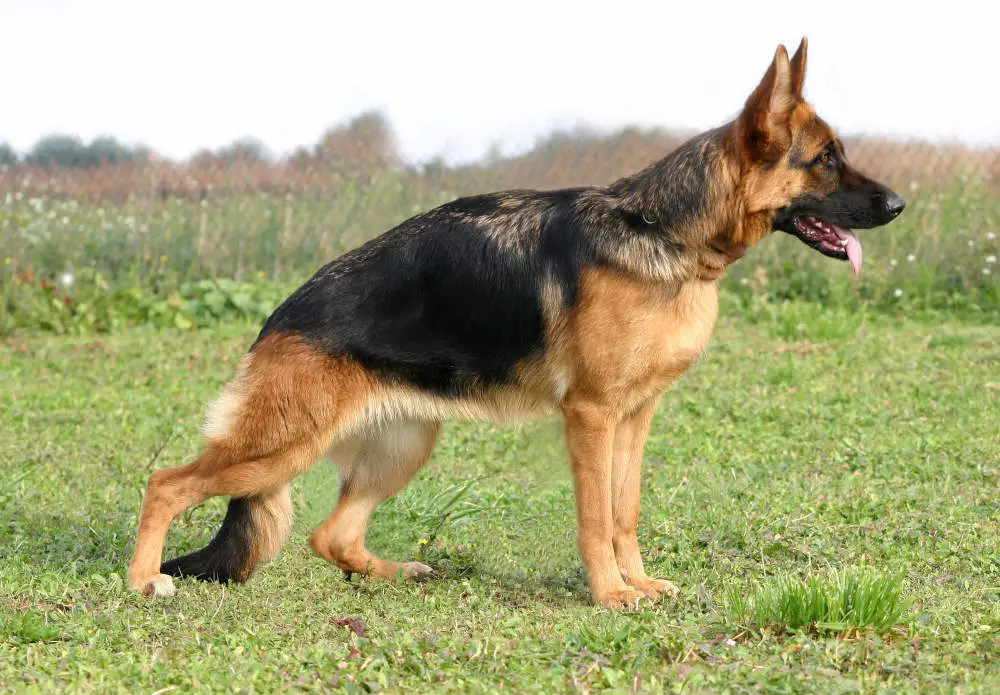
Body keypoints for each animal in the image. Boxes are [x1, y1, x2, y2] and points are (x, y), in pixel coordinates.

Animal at [127, 39, 908, 608]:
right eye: (827, 159)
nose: (900, 204)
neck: (663, 233)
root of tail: (278, 318)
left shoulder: (635, 417)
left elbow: (624, 511)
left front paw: (638, 582)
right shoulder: (591, 417)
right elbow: (595, 518)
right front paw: (610, 595)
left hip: (404, 445)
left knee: (330, 535)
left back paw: (397, 571)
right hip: (280, 444)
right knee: (165, 482)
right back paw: (143, 580)